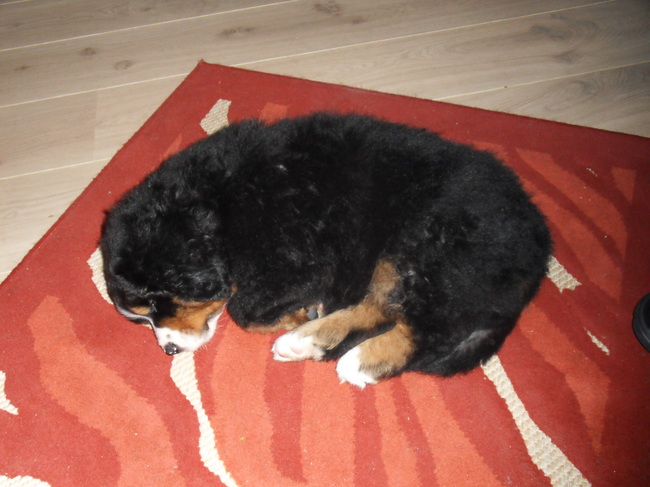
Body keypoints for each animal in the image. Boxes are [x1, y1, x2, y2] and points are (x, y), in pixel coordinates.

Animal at [100, 113, 552, 388]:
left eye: (155, 303)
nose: (168, 349)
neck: (220, 204)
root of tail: (539, 248)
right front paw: (301, 317)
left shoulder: (300, 261)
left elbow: (241, 309)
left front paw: (294, 313)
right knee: (382, 306)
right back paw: (308, 341)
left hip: (434, 249)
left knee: (424, 328)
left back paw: (361, 360)